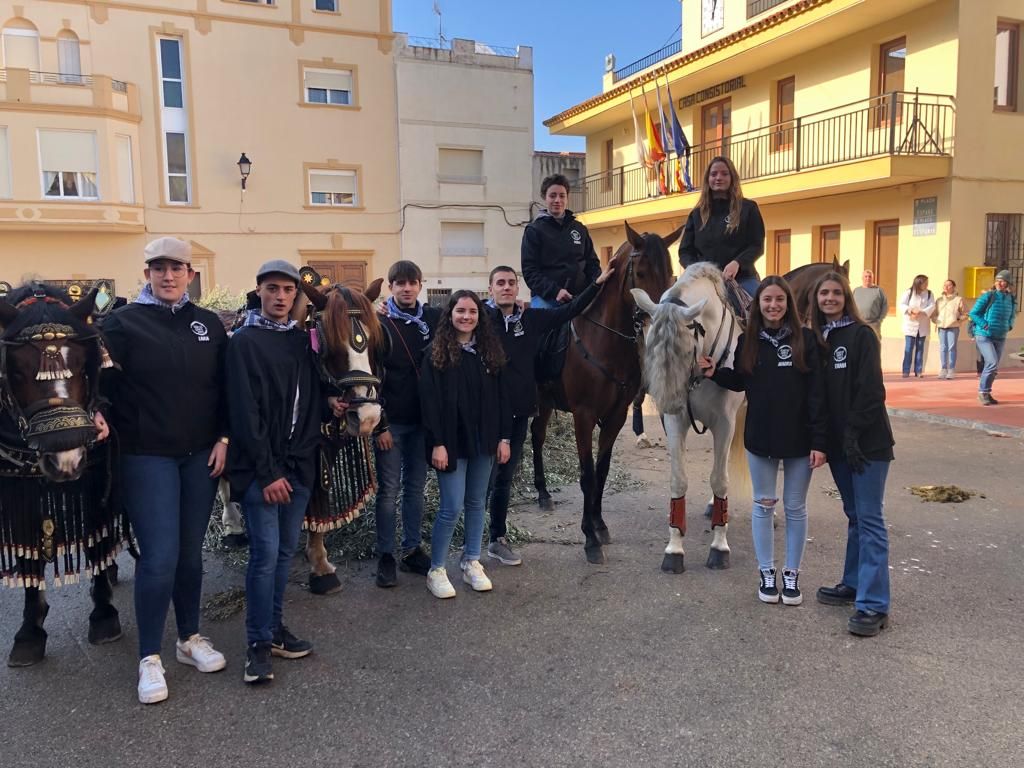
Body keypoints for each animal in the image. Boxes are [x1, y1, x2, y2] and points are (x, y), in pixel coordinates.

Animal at [0, 282, 123, 667]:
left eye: (84, 366)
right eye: (16, 372)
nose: (65, 456)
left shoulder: (95, 478)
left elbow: (97, 540)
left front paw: (103, 614)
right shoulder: (16, 487)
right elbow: (27, 554)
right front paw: (29, 631)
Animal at [532, 222, 684, 565]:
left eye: (671, 273)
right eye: (640, 272)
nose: (658, 321)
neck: (604, 340)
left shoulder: (616, 416)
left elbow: (601, 471)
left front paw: (599, 525)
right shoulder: (584, 416)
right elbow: (587, 475)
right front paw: (589, 539)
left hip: (545, 403)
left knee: (537, 435)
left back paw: (544, 493)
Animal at [630, 264, 745, 573]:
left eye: (683, 347)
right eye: (651, 344)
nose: (669, 401)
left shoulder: (725, 423)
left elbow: (720, 480)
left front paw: (719, 547)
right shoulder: (676, 423)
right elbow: (678, 481)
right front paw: (674, 550)